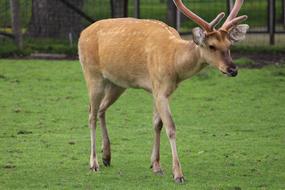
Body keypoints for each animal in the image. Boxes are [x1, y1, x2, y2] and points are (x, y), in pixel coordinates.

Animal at [78, 0, 248, 183]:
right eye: (212, 46)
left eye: (229, 45)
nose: (233, 69)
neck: (174, 63)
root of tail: (81, 34)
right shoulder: (159, 88)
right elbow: (170, 127)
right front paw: (178, 174)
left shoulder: (160, 90)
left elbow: (157, 124)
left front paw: (156, 165)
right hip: (92, 74)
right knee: (91, 114)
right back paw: (94, 163)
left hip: (117, 83)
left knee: (102, 109)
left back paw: (107, 157)